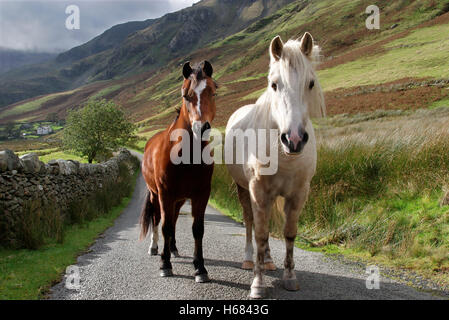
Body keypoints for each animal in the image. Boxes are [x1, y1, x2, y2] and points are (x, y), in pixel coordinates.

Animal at [140, 60, 217, 282]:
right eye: (186, 95)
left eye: (213, 91)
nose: (202, 128)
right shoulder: (165, 193)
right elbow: (164, 226)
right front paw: (165, 265)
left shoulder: (201, 194)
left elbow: (197, 229)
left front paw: (200, 268)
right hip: (156, 195)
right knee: (158, 219)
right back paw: (155, 248)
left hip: (179, 199)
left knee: (173, 219)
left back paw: (173, 248)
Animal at [224, 33, 326, 298]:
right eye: (274, 84)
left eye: (311, 83)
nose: (294, 139)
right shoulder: (258, 192)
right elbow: (259, 234)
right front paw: (257, 283)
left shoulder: (298, 194)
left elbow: (289, 234)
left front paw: (290, 277)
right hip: (243, 190)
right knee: (250, 222)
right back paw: (249, 259)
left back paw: (269, 260)